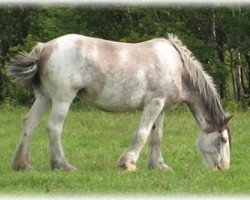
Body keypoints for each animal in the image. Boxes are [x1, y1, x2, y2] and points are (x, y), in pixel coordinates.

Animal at [8, 33, 231, 171]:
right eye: (222, 140)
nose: (222, 168)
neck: (178, 67)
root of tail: (44, 48)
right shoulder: (154, 104)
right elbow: (142, 134)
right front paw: (128, 163)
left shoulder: (161, 108)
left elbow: (156, 136)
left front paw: (158, 165)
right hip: (62, 99)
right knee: (53, 128)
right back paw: (63, 165)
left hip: (44, 97)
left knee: (30, 124)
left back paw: (22, 165)